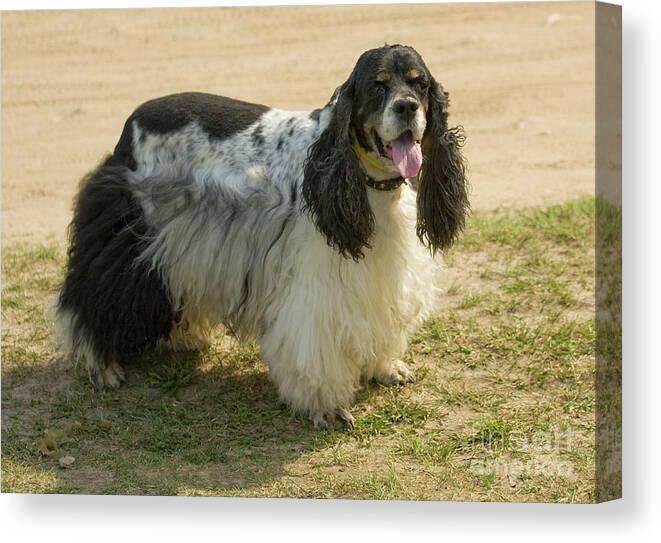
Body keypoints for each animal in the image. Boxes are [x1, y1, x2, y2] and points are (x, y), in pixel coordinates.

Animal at [52, 44, 470, 432]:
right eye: (377, 86)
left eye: (420, 84)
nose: (407, 108)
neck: (369, 184)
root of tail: (130, 127)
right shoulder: (316, 286)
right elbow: (316, 348)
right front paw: (326, 407)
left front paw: (386, 367)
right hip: (131, 234)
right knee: (91, 297)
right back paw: (102, 365)